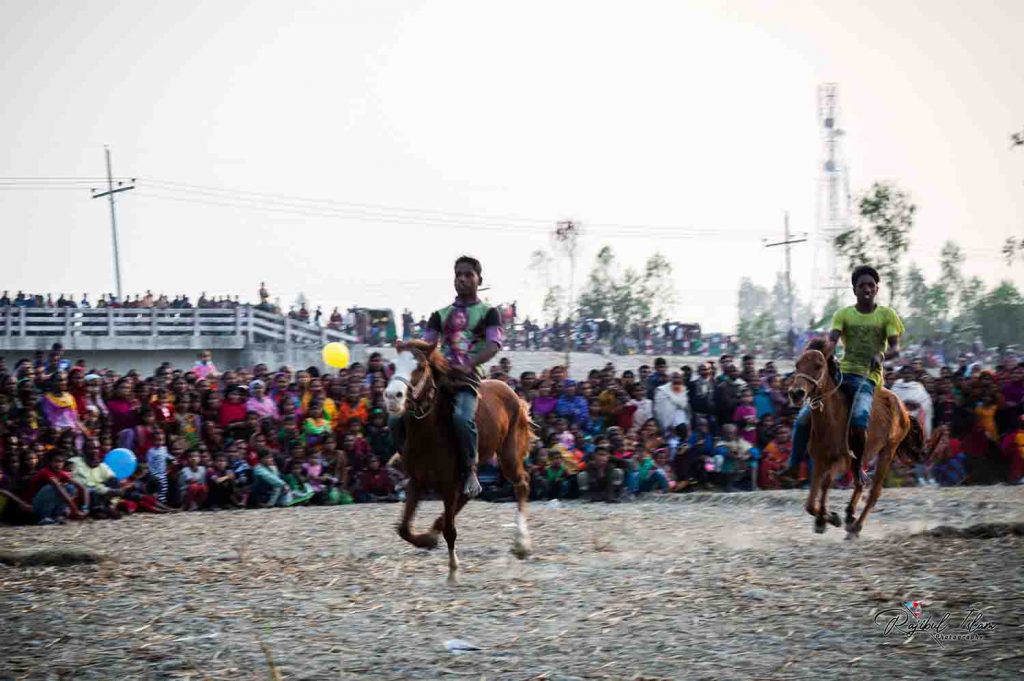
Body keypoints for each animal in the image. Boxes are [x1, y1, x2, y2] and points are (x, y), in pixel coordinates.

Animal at [380, 337, 532, 581]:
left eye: (420, 367)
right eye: (392, 365)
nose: (393, 396)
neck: (430, 431)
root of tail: (512, 392)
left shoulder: (448, 483)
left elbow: (450, 530)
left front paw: (453, 570)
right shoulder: (417, 480)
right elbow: (404, 529)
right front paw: (427, 539)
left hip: (509, 455)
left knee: (522, 484)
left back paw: (521, 543)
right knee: (469, 493)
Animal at [786, 339, 925, 536]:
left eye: (818, 365)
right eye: (797, 365)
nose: (796, 393)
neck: (831, 421)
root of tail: (904, 408)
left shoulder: (843, 460)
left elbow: (826, 483)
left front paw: (825, 518)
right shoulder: (819, 460)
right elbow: (810, 502)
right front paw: (828, 517)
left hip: (888, 450)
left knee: (874, 490)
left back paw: (855, 526)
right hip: (860, 459)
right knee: (861, 482)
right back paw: (850, 514)